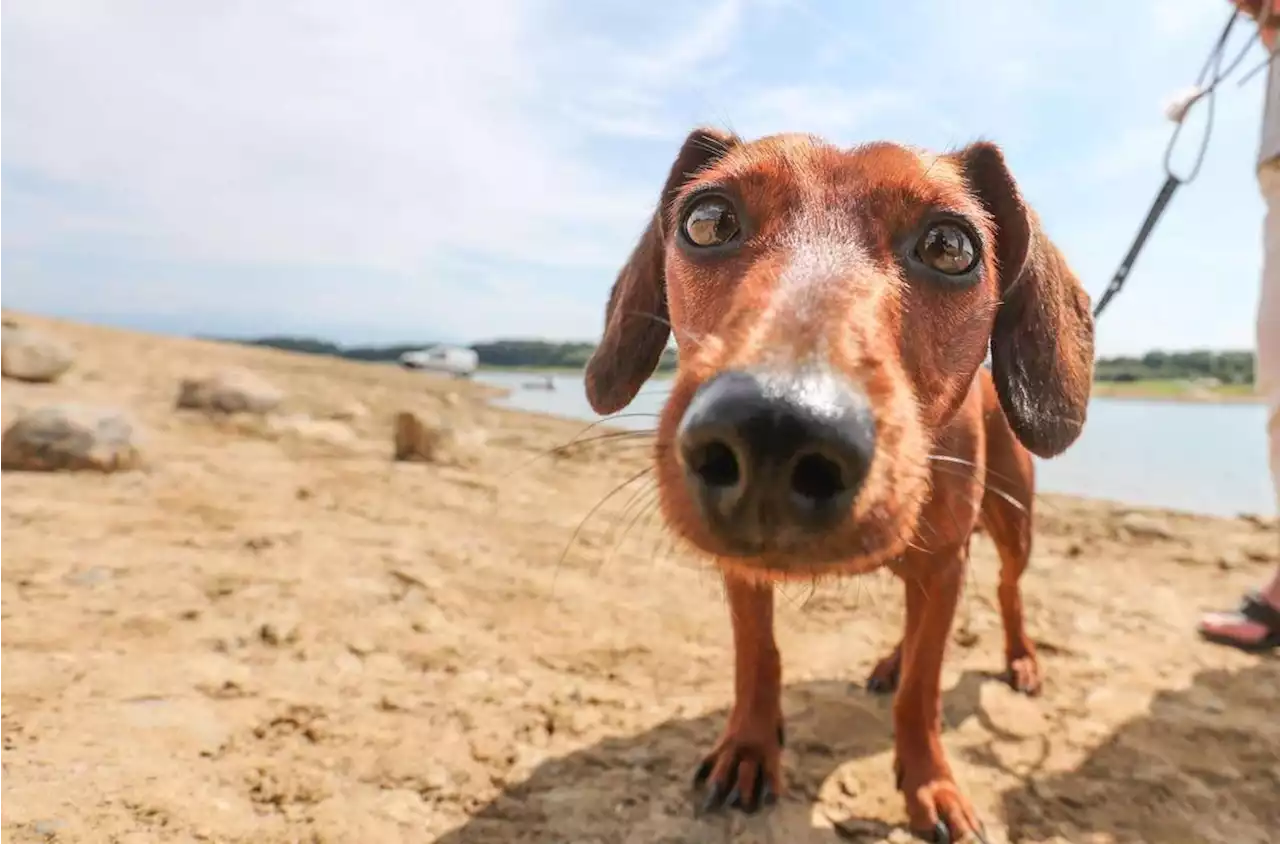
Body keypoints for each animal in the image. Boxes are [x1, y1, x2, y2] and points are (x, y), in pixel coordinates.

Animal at [586, 128, 1095, 840]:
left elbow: (924, 689)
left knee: (1006, 589)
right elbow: (758, 655)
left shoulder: (945, 561)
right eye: (707, 220)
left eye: (951, 246)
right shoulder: (744, 571)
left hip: (1010, 523)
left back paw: (1018, 656)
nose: (774, 430)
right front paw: (749, 748)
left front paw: (930, 782)